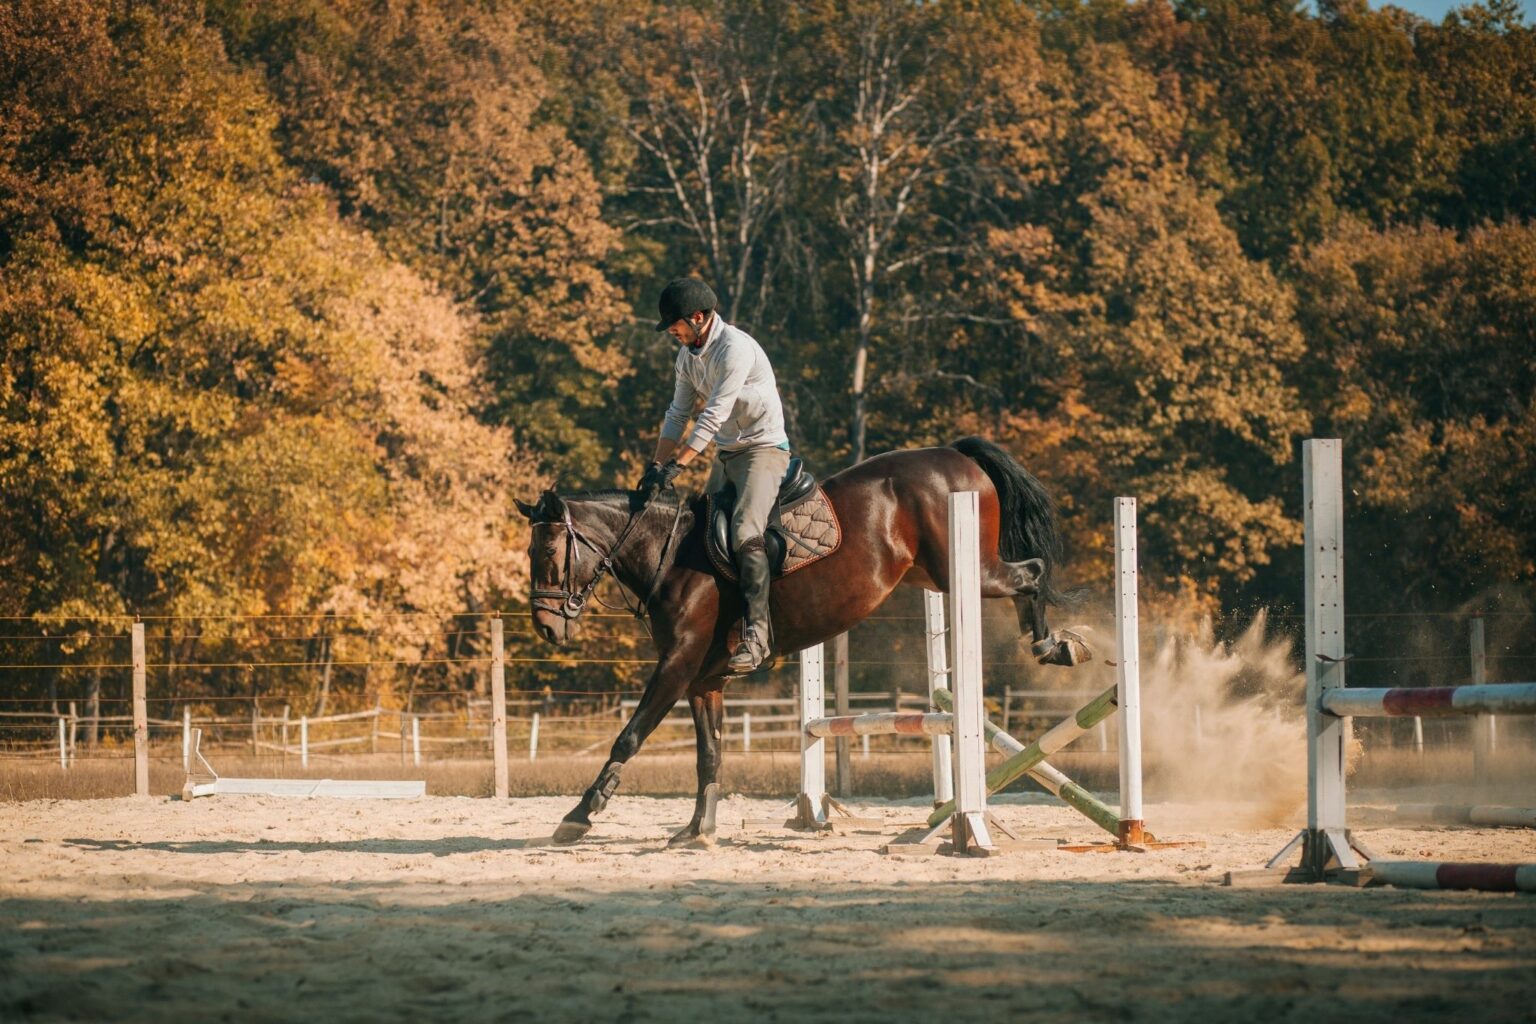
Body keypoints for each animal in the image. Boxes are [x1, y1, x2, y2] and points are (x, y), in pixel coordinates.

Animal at [514, 436, 1090, 846]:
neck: (671, 554)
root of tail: (955, 454)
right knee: (1025, 576)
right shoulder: (704, 679)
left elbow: (629, 737)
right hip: (935, 574)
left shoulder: (677, 665)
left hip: (969, 568)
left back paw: (1054, 646)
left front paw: (580, 814)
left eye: (547, 553)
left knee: (1032, 573)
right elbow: (709, 754)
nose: (545, 626)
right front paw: (698, 830)